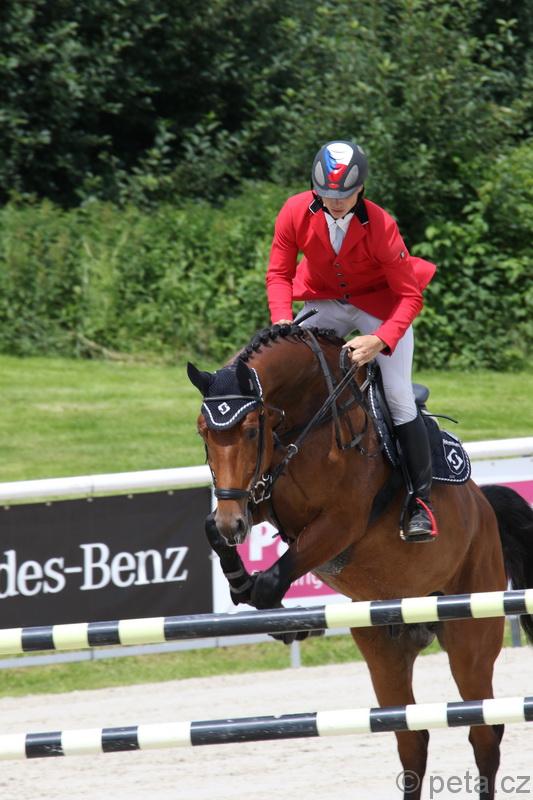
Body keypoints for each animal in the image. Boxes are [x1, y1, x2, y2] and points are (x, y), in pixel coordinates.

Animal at [187, 323, 533, 800]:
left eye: (253, 431)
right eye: (204, 431)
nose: (232, 525)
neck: (305, 420)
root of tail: (485, 511)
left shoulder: (340, 524)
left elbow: (274, 579)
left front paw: (286, 621)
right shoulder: (259, 497)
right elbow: (211, 530)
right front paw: (240, 581)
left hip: (470, 637)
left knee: (483, 732)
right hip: (384, 651)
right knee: (412, 739)